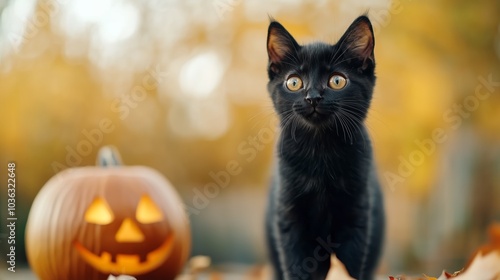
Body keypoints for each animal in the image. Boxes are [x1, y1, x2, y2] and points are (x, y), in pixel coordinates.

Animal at [266, 15, 386, 280]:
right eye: (294, 82)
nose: (313, 97)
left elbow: (350, 263)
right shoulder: (288, 216)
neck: (320, 150)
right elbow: (295, 264)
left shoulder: (356, 214)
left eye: (337, 81)